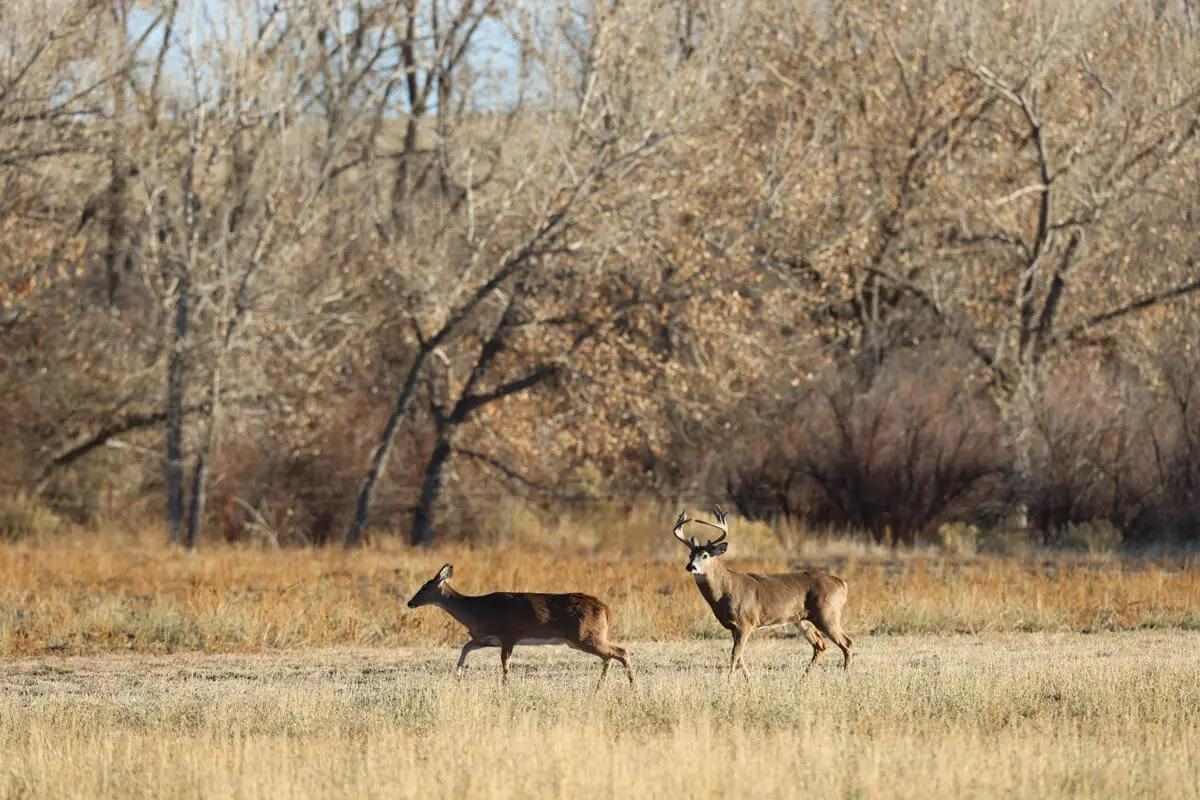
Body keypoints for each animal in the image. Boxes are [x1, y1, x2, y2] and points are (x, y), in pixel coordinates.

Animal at [406, 563, 635, 688]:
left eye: (424, 587)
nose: (410, 602)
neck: (474, 610)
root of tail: (605, 608)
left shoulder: (509, 635)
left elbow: (505, 664)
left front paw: (505, 686)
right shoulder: (486, 638)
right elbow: (466, 647)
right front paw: (459, 675)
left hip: (584, 635)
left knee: (621, 651)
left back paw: (633, 686)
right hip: (588, 637)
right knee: (610, 655)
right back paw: (600, 687)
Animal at [672, 507, 853, 680]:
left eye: (705, 555)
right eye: (690, 554)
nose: (690, 566)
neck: (725, 590)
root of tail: (842, 584)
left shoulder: (745, 622)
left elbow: (735, 655)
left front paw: (728, 681)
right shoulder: (733, 627)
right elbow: (740, 656)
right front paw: (748, 680)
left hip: (828, 614)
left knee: (847, 642)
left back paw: (845, 675)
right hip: (802, 620)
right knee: (820, 645)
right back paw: (803, 678)